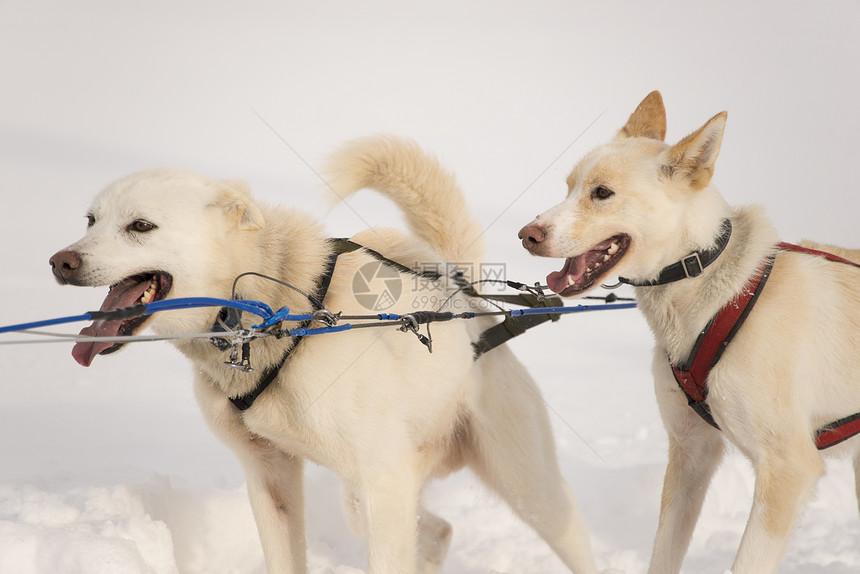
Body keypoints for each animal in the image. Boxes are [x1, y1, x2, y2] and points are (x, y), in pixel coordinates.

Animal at [48, 138, 596, 574]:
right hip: (376, 489)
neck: (272, 313)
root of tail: (466, 298)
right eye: (91, 220)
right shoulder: (270, 477)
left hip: (522, 485)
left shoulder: (382, 480)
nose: (60, 261)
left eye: (141, 225)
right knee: (436, 533)